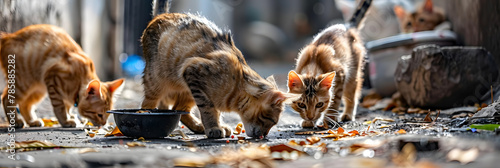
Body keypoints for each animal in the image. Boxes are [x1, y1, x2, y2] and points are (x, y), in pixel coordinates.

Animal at [141, 0, 290, 138]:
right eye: (271, 120)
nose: (264, 135)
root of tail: (160, 15)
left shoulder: (193, 80)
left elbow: (214, 111)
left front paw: (218, 125)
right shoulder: (193, 71)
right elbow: (208, 108)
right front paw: (214, 127)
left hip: (186, 90)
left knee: (179, 110)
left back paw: (198, 126)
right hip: (155, 82)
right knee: (147, 106)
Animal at [286, 0, 372, 128]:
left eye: (319, 104)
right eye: (301, 105)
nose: (310, 116)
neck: (313, 63)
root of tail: (347, 26)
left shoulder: (341, 75)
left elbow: (334, 100)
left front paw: (330, 118)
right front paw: (310, 121)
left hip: (353, 72)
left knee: (352, 95)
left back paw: (348, 114)